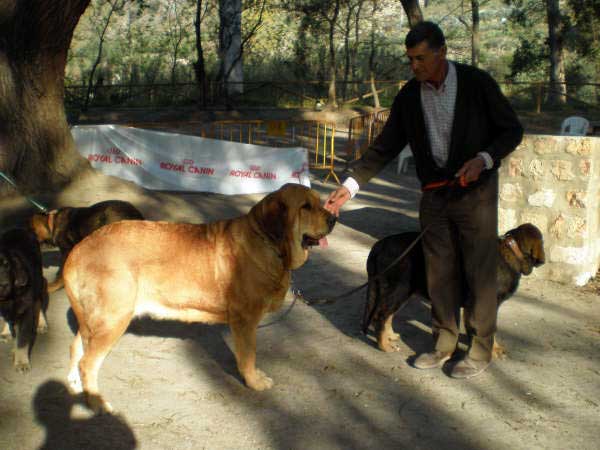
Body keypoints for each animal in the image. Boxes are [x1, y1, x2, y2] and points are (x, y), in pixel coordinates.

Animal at [0, 229, 49, 372]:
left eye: (7, 265)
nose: (4, 285)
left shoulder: (25, 312)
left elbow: (22, 340)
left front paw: (21, 362)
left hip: (39, 280)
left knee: (39, 302)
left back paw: (42, 324)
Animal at [364, 223, 548, 354]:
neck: (511, 253)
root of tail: (379, 245)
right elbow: (490, 330)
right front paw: (492, 350)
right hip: (398, 290)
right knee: (380, 317)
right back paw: (383, 345)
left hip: (401, 292)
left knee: (387, 316)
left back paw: (390, 337)